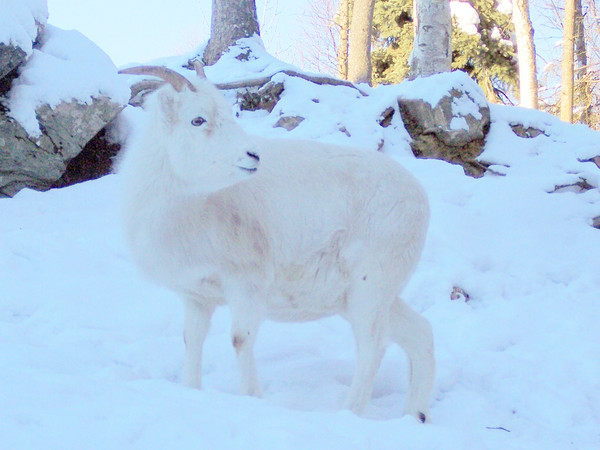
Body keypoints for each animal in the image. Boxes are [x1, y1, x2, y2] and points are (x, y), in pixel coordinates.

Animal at [118, 63, 436, 422]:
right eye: (197, 120)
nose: (252, 156)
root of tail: (419, 198)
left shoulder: (246, 286)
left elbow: (240, 340)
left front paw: (251, 398)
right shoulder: (198, 297)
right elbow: (192, 341)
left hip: (370, 289)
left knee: (373, 348)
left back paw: (348, 412)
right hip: (367, 298)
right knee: (420, 335)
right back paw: (415, 416)